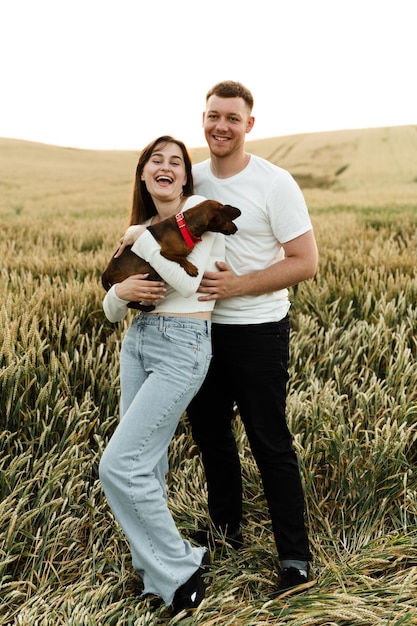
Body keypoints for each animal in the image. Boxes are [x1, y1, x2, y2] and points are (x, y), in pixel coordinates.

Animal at [101, 197, 242, 310]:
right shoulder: (164, 253)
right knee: (131, 303)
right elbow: (181, 258)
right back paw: (148, 308)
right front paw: (191, 268)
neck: (185, 227)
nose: (236, 228)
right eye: (227, 220)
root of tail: (105, 273)